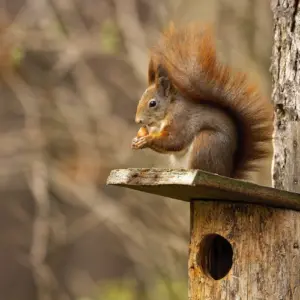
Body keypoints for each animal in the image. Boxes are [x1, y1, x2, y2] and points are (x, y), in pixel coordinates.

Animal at [131, 23, 272, 179]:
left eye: (152, 103)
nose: (138, 120)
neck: (169, 109)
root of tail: (226, 173)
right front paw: (138, 138)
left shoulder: (181, 119)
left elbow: (174, 140)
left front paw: (147, 140)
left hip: (206, 143)